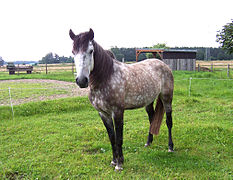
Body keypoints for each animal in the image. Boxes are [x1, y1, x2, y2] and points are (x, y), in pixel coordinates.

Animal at [68, 28, 174, 171]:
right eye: (73, 52)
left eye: (90, 51)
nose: (81, 81)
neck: (106, 77)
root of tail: (163, 64)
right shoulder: (103, 114)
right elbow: (112, 138)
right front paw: (114, 161)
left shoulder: (117, 112)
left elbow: (119, 139)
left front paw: (119, 164)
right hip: (148, 101)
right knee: (152, 119)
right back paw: (148, 143)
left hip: (167, 98)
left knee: (169, 121)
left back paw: (170, 147)